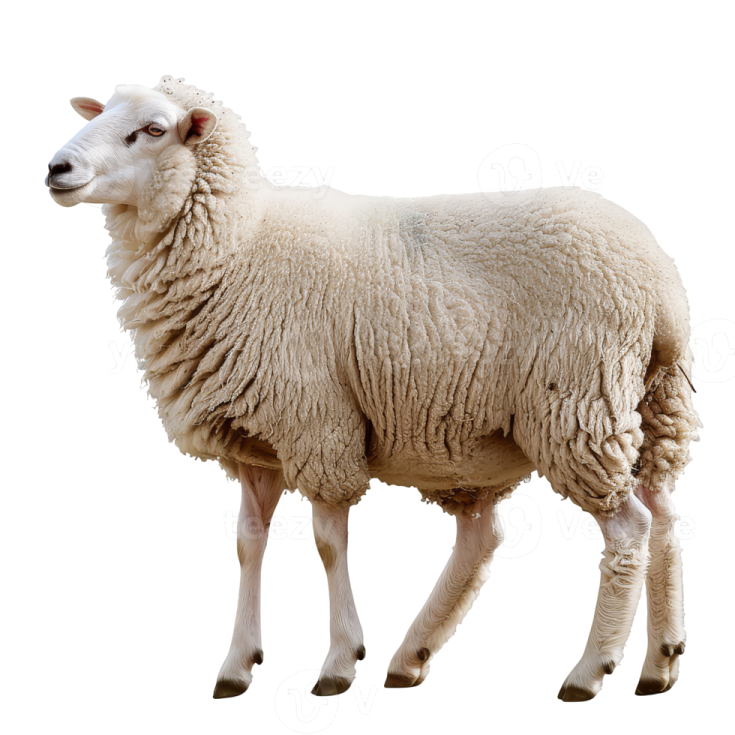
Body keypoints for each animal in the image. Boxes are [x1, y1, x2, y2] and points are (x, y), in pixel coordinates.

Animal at [46, 76, 702, 702]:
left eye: (154, 130)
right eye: (101, 113)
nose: (58, 169)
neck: (241, 243)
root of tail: (660, 286)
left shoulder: (317, 424)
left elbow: (330, 544)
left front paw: (338, 662)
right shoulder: (254, 446)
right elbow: (250, 545)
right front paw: (237, 665)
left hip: (578, 405)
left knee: (629, 528)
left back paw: (589, 671)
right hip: (644, 405)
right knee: (648, 520)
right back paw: (648, 663)